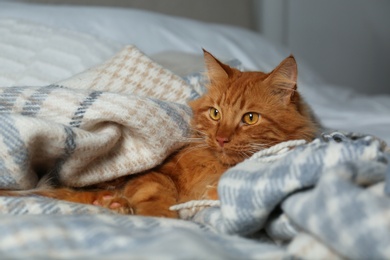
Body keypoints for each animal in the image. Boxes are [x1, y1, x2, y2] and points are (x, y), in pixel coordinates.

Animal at [0, 50, 320, 217]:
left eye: (250, 118)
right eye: (215, 113)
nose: (221, 139)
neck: (212, 167)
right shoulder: (157, 173)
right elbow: (158, 193)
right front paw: (164, 217)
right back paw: (112, 203)